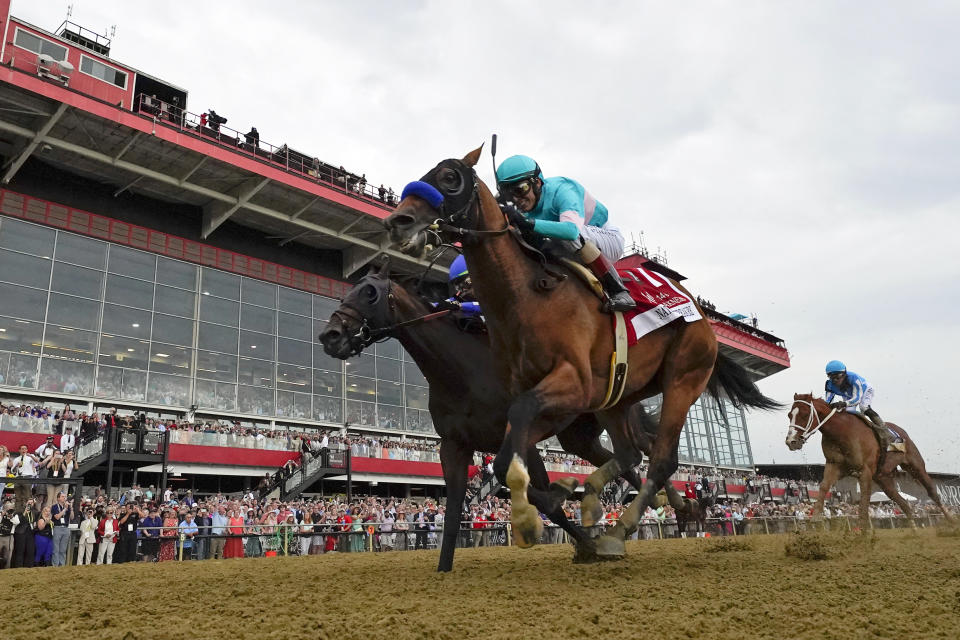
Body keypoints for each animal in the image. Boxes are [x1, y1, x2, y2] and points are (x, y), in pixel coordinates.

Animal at [318, 258, 656, 568]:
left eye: (369, 293)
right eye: (351, 290)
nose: (330, 335)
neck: (465, 372)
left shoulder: (524, 439)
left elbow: (542, 497)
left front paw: (586, 541)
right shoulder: (454, 445)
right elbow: (454, 510)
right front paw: (443, 569)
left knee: (642, 454)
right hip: (579, 438)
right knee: (626, 465)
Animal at [382, 148, 780, 556]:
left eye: (450, 178)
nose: (398, 221)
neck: (526, 295)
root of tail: (700, 313)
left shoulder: (570, 384)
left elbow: (513, 443)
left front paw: (535, 512)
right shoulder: (529, 401)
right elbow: (509, 455)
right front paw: (558, 495)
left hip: (683, 379)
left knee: (660, 459)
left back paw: (624, 526)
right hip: (615, 398)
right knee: (631, 453)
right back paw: (637, 504)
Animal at [784, 396, 948, 528]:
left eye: (804, 414)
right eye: (789, 415)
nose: (791, 441)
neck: (841, 432)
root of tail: (900, 431)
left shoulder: (865, 472)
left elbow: (863, 505)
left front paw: (863, 533)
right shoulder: (834, 466)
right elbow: (824, 486)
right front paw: (816, 519)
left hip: (915, 465)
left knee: (932, 493)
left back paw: (950, 522)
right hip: (883, 478)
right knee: (903, 502)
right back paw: (914, 531)